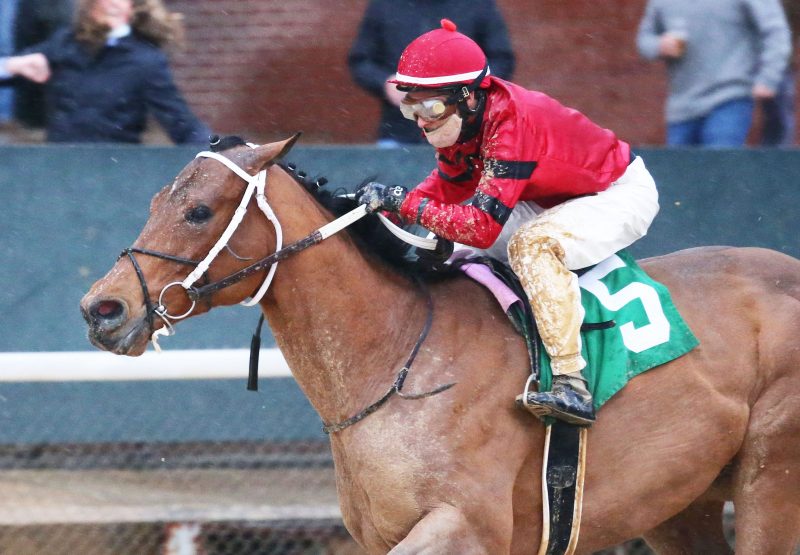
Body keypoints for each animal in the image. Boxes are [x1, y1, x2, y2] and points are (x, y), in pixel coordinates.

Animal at [76, 136, 800, 555]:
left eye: (198, 211)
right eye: (155, 201)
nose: (102, 308)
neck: (396, 359)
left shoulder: (467, 526)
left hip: (769, 483)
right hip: (682, 503)